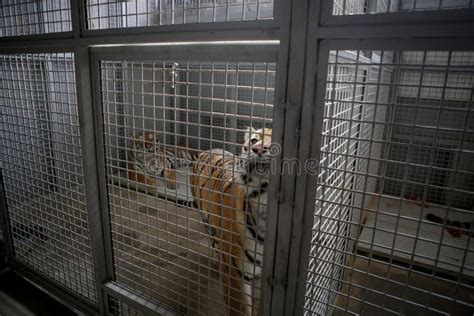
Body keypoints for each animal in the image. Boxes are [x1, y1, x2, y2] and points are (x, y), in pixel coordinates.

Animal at [191, 127, 272, 314]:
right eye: (254, 140)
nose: (258, 150)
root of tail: (209, 149)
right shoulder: (236, 274)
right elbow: (240, 309)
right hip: (207, 220)